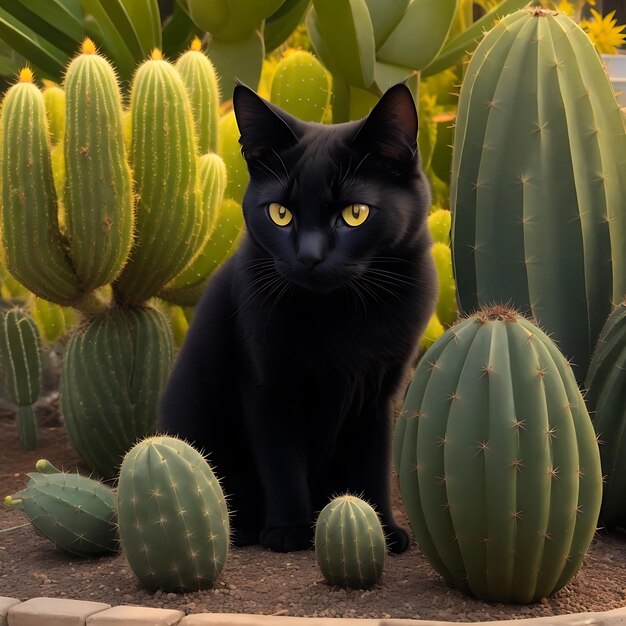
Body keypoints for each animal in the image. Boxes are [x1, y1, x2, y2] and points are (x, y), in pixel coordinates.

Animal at [158, 81, 436, 552]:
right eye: (280, 213)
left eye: (355, 214)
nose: (309, 257)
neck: (339, 316)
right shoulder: (268, 387)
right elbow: (282, 463)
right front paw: (289, 530)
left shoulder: (378, 393)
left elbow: (372, 463)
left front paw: (380, 527)